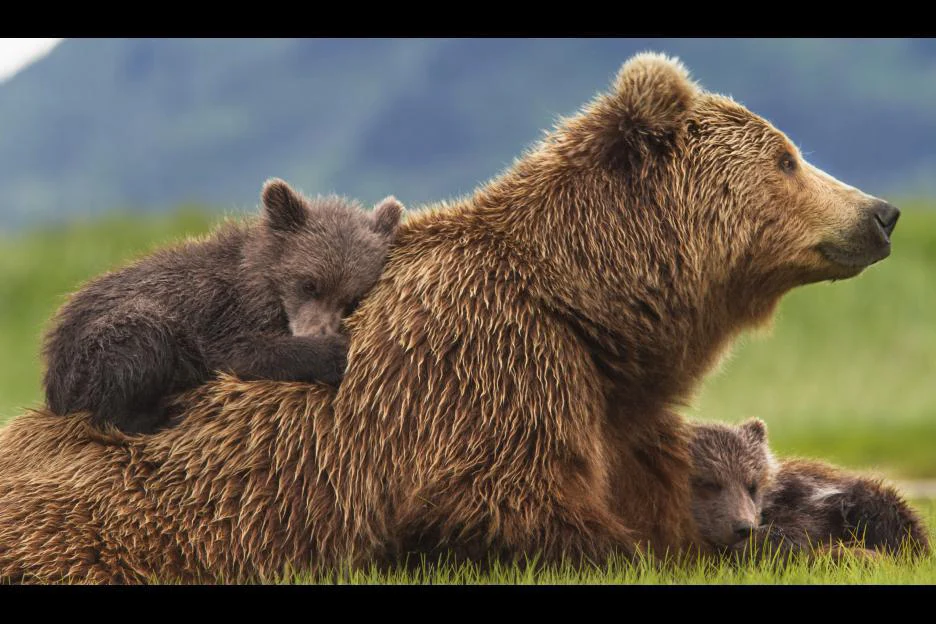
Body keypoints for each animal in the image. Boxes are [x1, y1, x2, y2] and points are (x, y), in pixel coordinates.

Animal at [41, 178, 404, 434]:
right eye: (309, 283)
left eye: (352, 299)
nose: (318, 332)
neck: (261, 282)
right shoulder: (222, 313)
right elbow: (242, 353)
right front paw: (333, 352)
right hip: (101, 344)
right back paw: (162, 414)